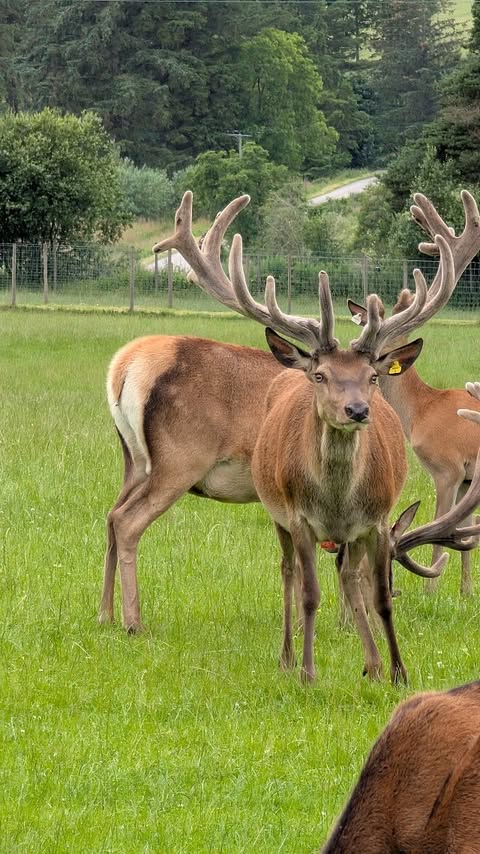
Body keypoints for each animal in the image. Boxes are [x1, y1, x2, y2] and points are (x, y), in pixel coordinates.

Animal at [152, 191, 464, 684]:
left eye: (372, 376)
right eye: (321, 375)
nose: (357, 410)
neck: (337, 501)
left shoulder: (377, 521)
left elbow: (379, 598)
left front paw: (396, 672)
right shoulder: (299, 519)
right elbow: (310, 593)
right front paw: (307, 671)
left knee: (346, 580)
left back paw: (370, 664)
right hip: (276, 512)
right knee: (288, 574)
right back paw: (285, 656)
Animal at [348, 190, 480, 596]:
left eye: (380, 351)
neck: (421, 409)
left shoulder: (447, 467)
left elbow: (442, 531)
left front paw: (432, 591)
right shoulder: (467, 478)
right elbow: (465, 538)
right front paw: (466, 591)